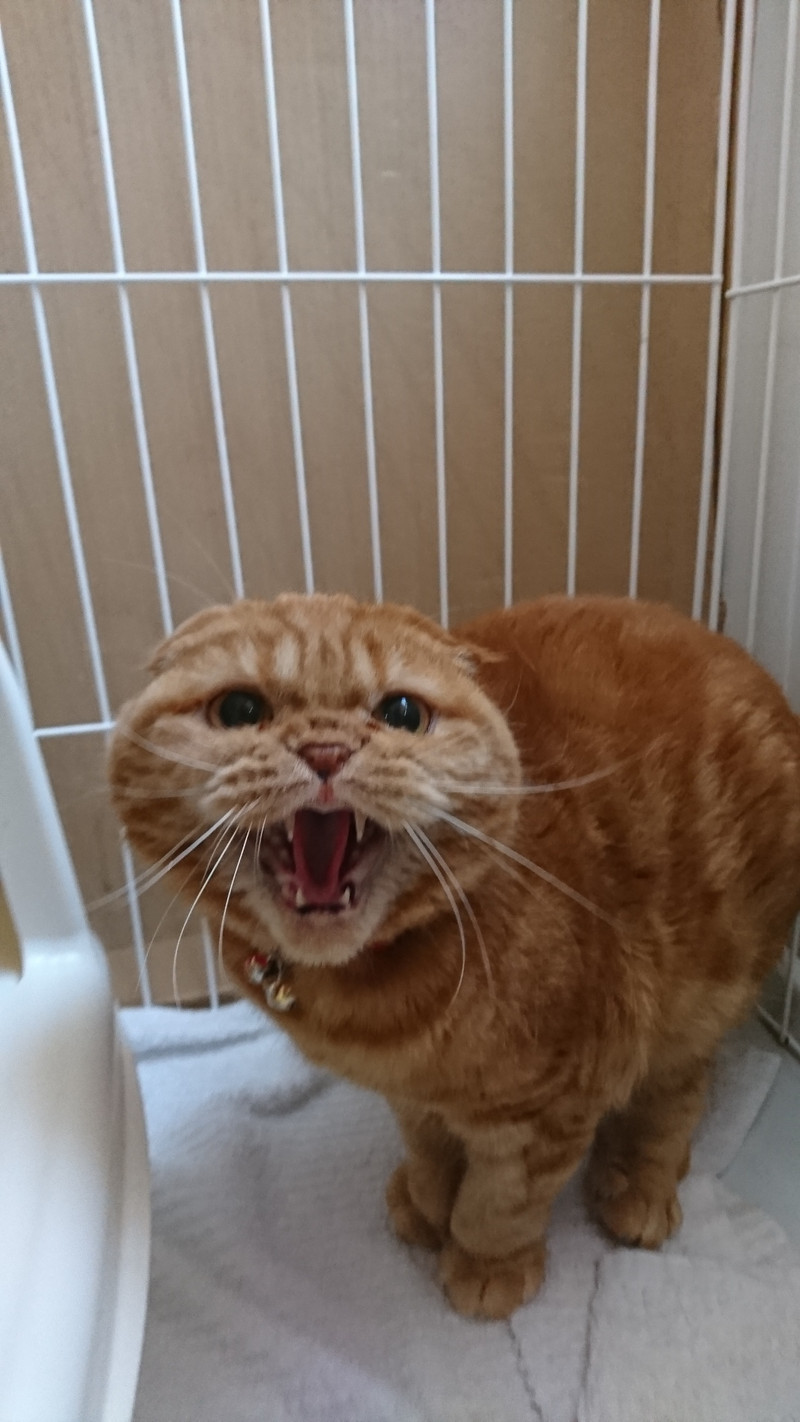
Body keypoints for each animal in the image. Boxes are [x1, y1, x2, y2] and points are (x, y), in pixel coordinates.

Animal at [109, 592, 800, 1320]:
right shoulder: (413, 1096)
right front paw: (426, 1202)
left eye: (402, 714)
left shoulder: (549, 1110)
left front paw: (486, 1265)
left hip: (700, 998)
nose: (326, 749)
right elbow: (431, 1152)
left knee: (676, 1098)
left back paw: (639, 1184)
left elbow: (501, 1203)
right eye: (240, 710)